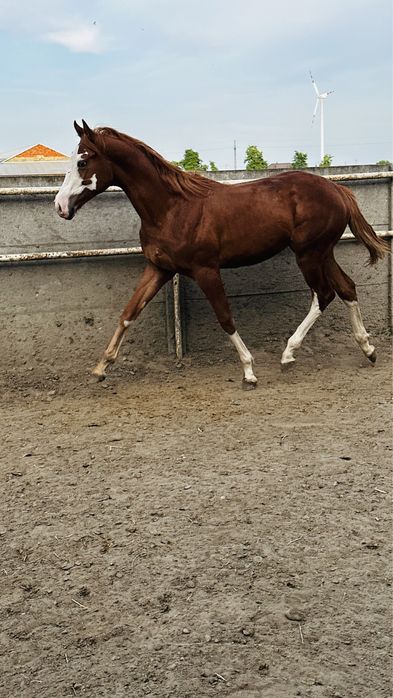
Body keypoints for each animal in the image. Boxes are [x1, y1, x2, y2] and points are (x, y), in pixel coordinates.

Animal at [54, 122, 386, 388]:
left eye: (82, 161)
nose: (60, 206)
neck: (171, 209)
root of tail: (338, 190)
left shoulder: (206, 270)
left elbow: (225, 317)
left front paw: (249, 372)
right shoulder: (158, 268)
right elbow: (128, 312)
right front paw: (101, 367)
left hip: (309, 254)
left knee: (324, 294)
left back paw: (288, 354)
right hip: (323, 253)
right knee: (347, 288)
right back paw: (368, 349)